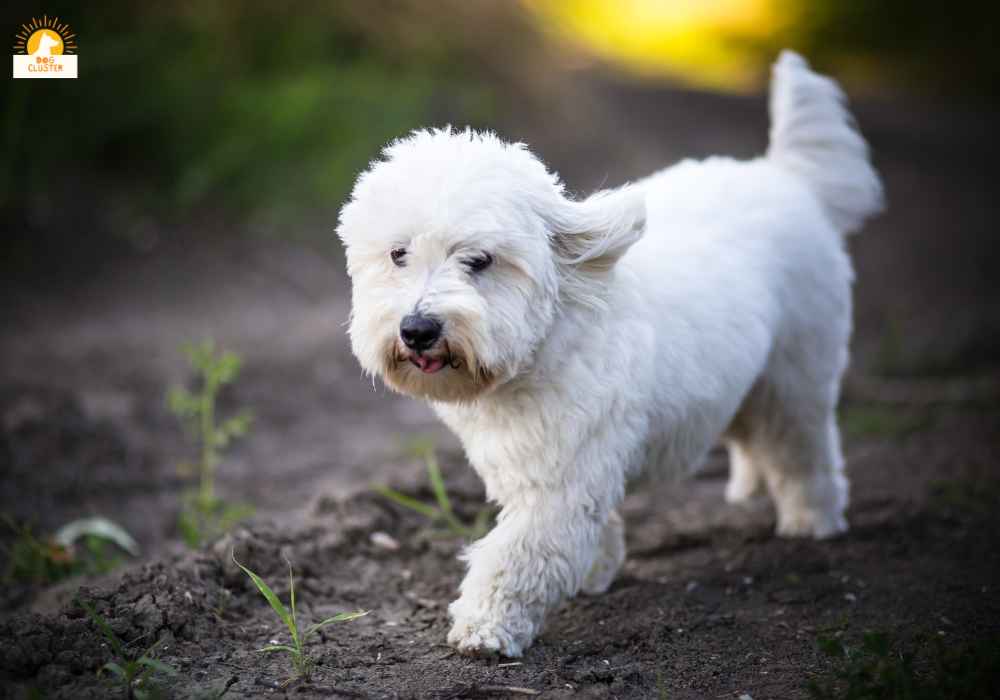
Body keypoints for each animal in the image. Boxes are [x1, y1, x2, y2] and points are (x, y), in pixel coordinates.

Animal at [338, 53, 884, 656]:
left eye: (479, 260)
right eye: (398, 254)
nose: (417, 329)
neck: (547, 340)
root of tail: (785, 177)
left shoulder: (561, 480)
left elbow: (518, 554)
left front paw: (486, 625)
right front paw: (595, 572)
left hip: (797, 376)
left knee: (802, 448)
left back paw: (812, 518)